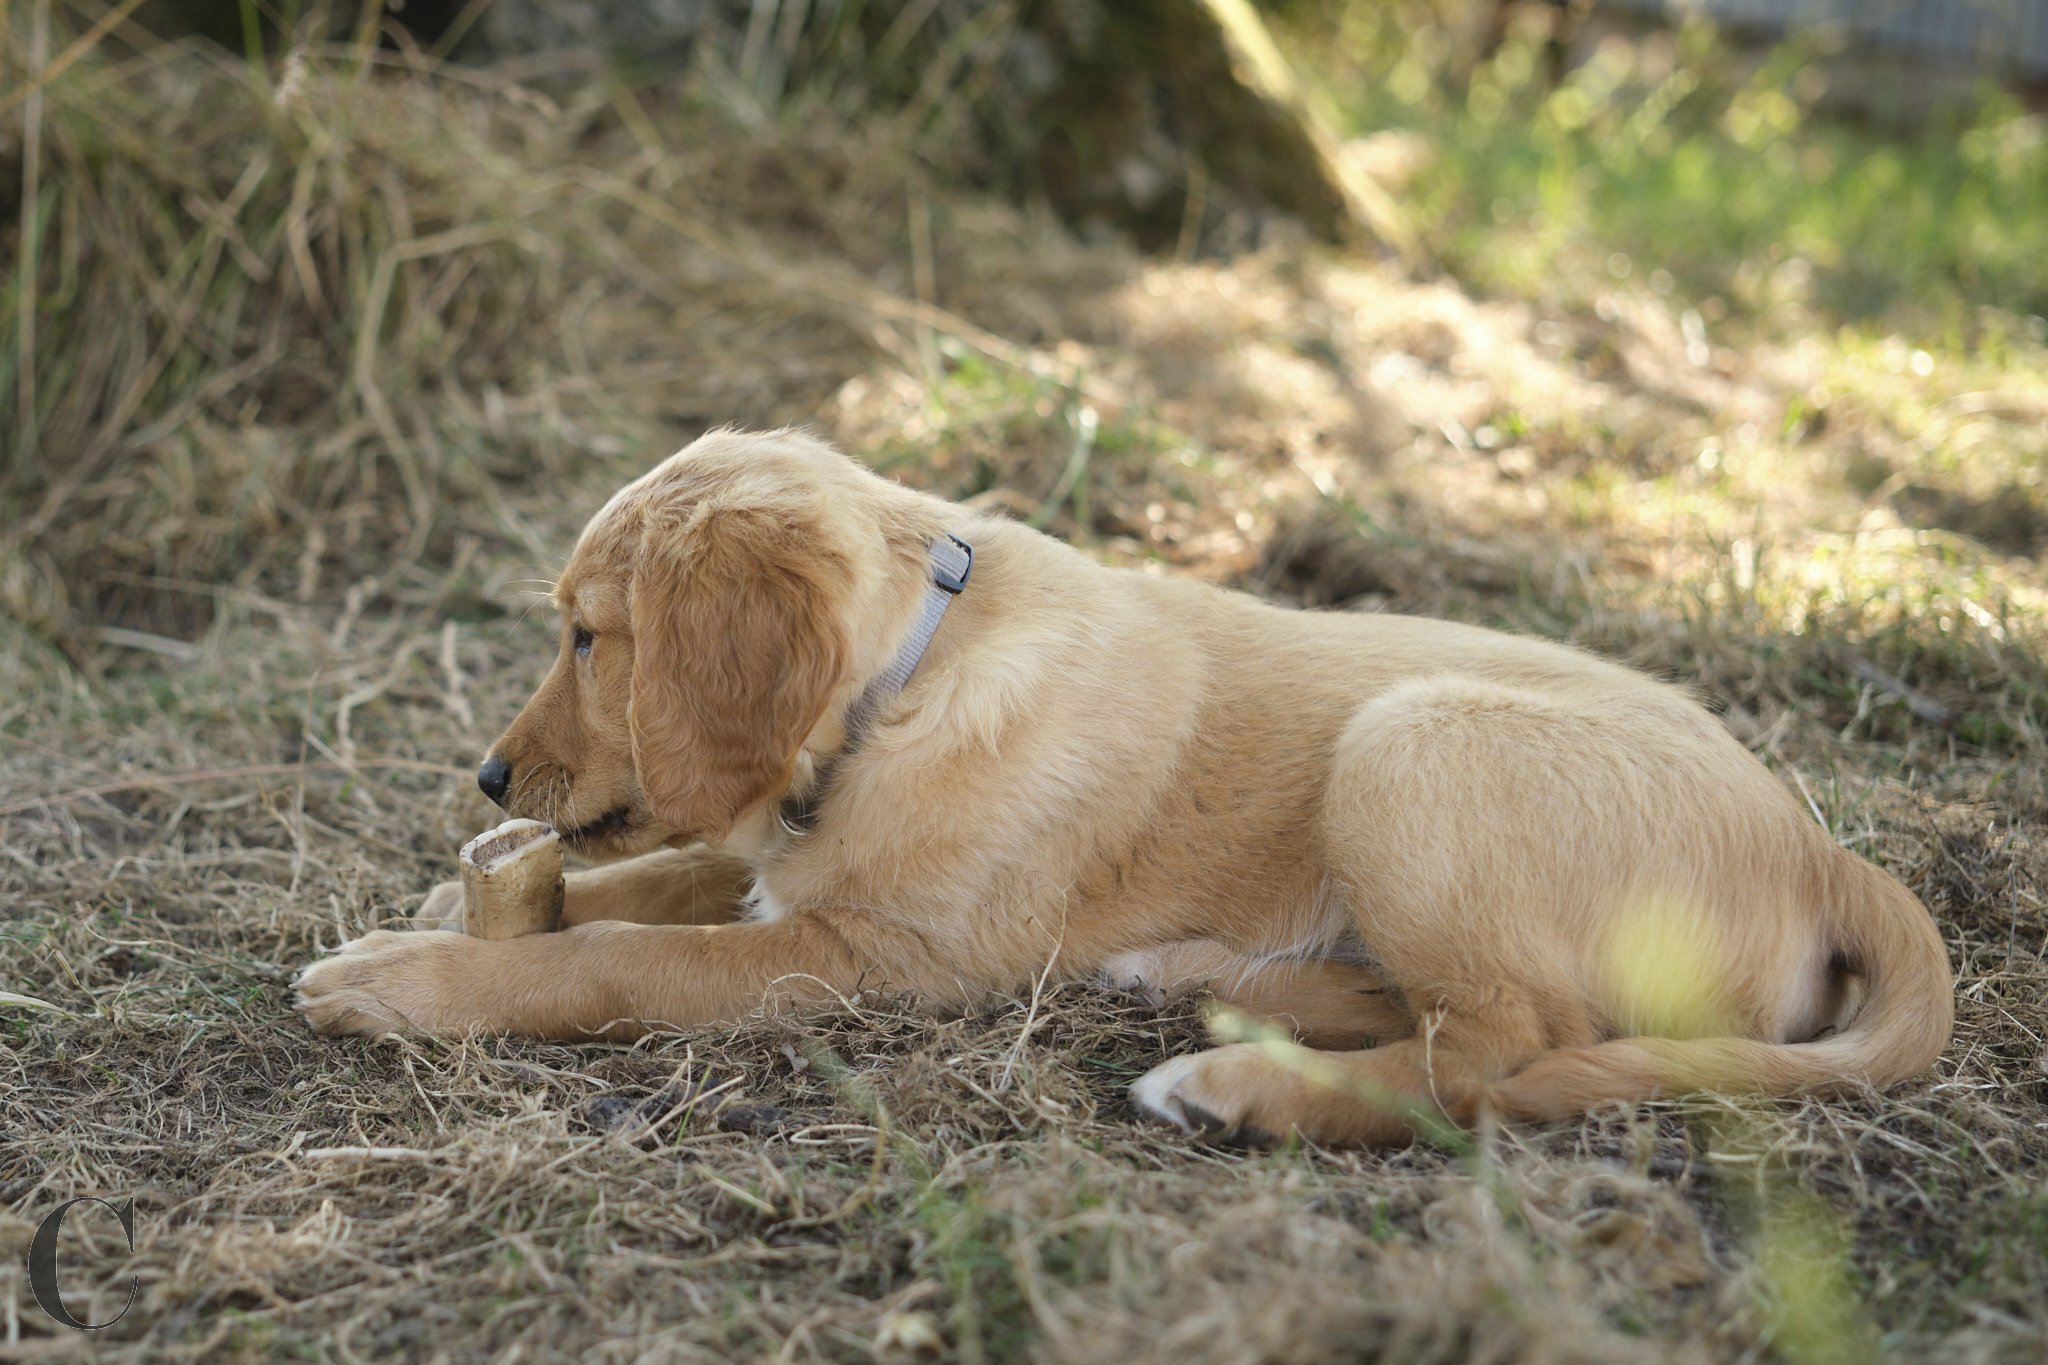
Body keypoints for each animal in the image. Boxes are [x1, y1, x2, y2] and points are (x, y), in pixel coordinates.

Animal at [292, 423, 1949, 1146]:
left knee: (1503, 1056)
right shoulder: (789, 862)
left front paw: (402, 977)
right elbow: (663, 872)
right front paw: (452, 899)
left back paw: (1233, 1087)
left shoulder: (864, 955)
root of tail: (1828, 850)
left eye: (589, 635)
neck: (905, 685)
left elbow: (618, 955)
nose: (488, 773)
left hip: (1411, 742)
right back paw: (1218, 989)